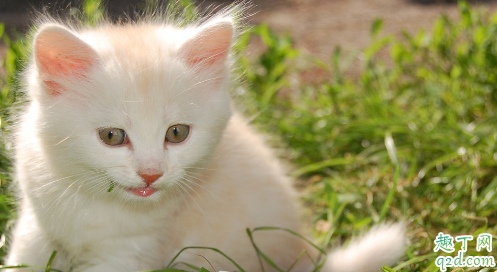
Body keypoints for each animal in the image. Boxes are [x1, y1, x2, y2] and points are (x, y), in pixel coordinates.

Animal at [4, 6, 406, 272]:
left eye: (176, 133)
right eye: (112, 136)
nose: (151, 173)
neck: (93, 203)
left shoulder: (129, 254)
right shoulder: (35, 228)